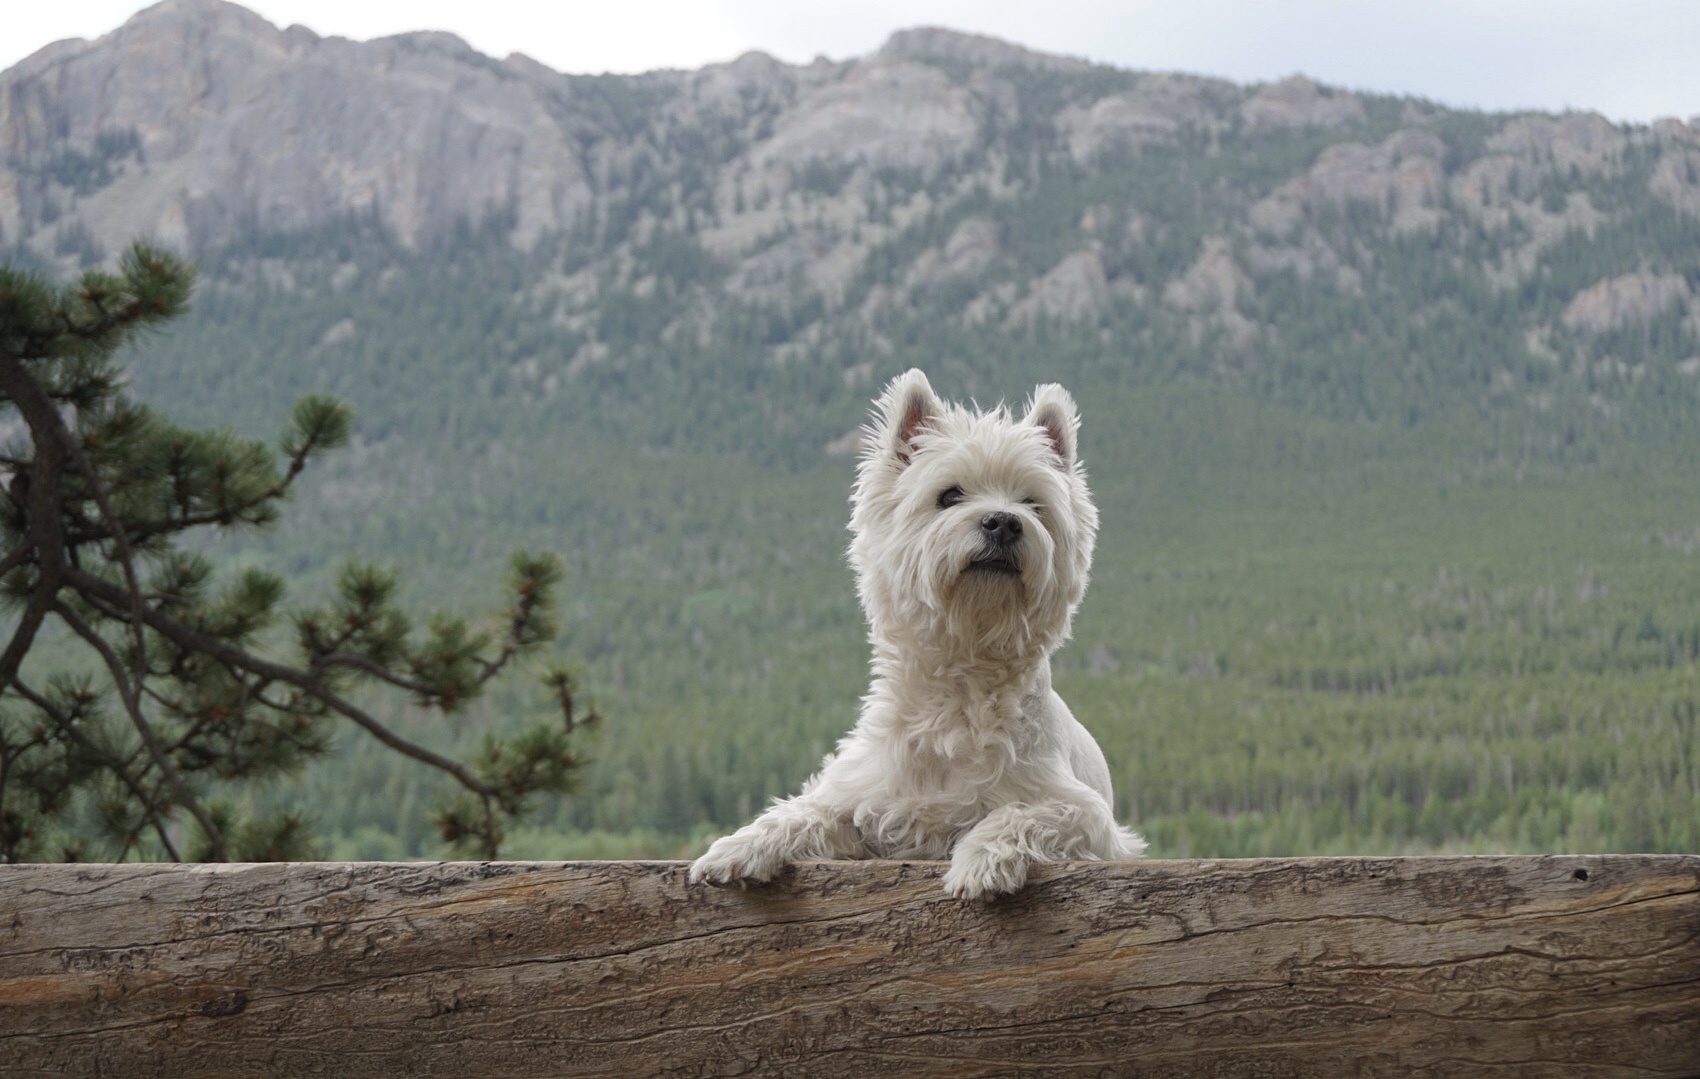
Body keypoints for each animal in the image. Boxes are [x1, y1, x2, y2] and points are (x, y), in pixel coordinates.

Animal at [686, 367, 1142, 897]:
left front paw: (980, 862)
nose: (1003, 523)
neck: (961, 684)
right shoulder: (867, 800)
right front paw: (734, 849)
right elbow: (806, 811)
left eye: (1032, 503)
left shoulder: (1088, 815)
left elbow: (1018, 812)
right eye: (949, 495)